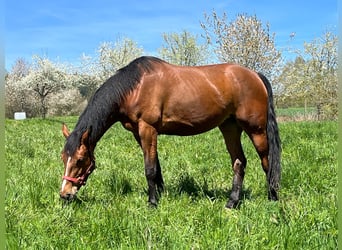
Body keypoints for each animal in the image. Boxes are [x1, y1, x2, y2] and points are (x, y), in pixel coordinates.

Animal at [60, 56, 282, 209]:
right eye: (63, 158)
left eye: (80, 160)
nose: (65, 194)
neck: (135, 87)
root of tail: (255, 75)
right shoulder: (139, 133)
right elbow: (155, 165)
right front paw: (160, 194)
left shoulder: (147, 129)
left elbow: (149, 168)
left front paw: (152, 203)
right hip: (230, 127)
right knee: (239, 162)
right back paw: (232, 203)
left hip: (256, 130)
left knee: (267, 162)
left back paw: (272, 198)